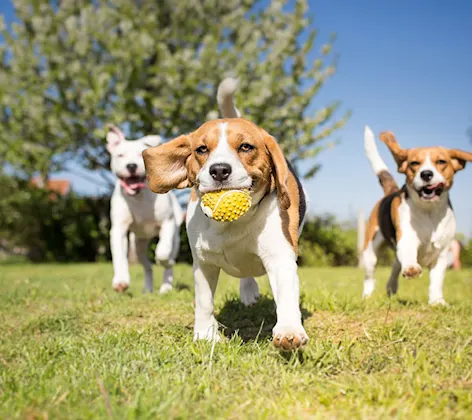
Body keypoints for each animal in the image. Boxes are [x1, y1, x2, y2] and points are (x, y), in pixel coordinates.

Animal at [106, 126, 183, 294]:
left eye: (140, 155)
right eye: (120, 155)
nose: (131, 166)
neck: (139, 197)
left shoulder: (167, 223)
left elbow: (162, 252)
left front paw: (165, 261)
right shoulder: (119, 229)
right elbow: (119, 256)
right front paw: (120, 281)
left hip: (175, 238)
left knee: (168, 258)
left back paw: (166, 286)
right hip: (138, 245)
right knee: (147, 266)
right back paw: (148, 289)